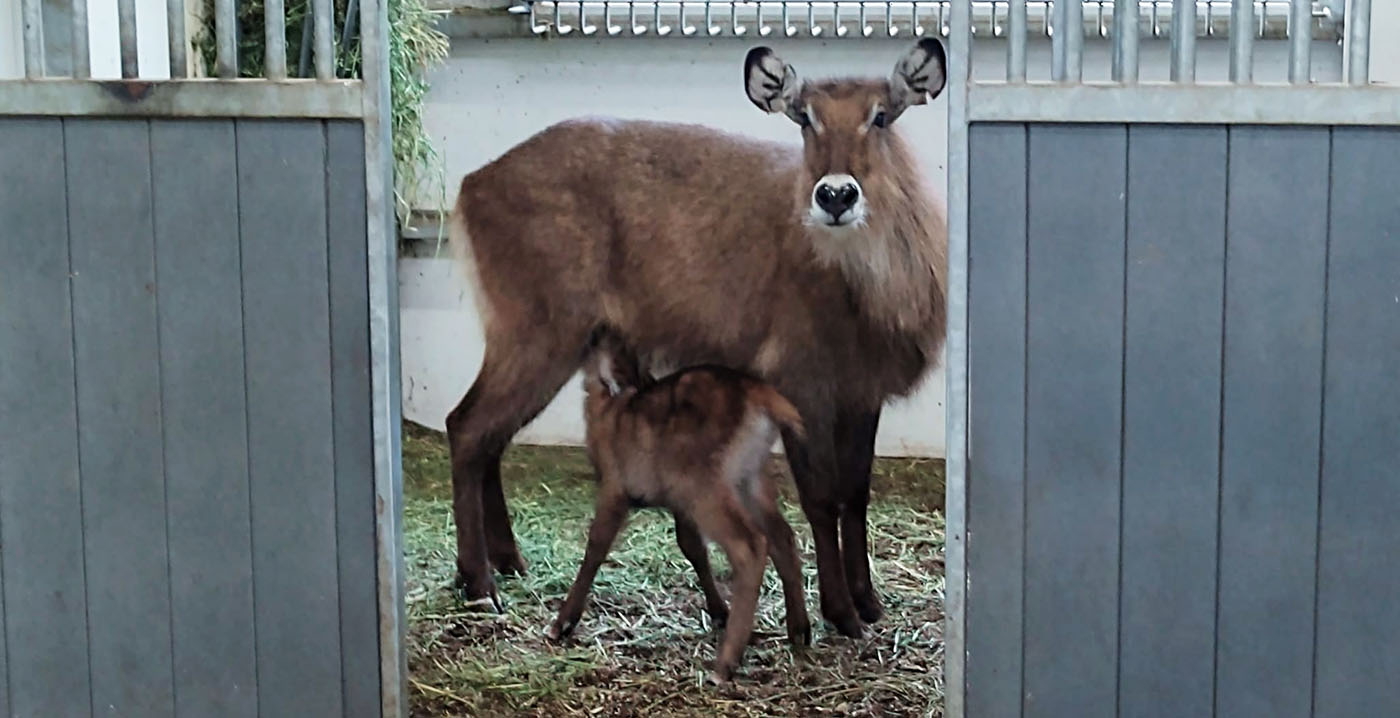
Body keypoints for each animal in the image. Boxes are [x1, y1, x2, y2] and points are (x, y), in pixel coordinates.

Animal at [450, 39, 952, 635]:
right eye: (804, 117)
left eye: (881, 114)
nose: (835, 195)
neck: (870, 296)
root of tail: (470, 183)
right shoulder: (800, 381)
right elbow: (821, 497)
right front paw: (841, 613)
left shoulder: (862, 389)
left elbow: (856, 495)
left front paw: (869, 602)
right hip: (536, 332)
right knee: (466, 427)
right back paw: (479, 585)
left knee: (489, 437)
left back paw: (508, 562)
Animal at [546, 327, 812, 680]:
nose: (597, 332)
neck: (612, 407)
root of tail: (763, 399)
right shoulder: (677, 502)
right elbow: (691, 547)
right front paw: (718, 612)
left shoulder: (616, 487)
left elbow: (596, 546)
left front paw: (562, 623)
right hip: (750, 478)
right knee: (782, 535)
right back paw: (799, 630)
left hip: (705, 486)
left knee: (751, 545)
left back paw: (725, 663)